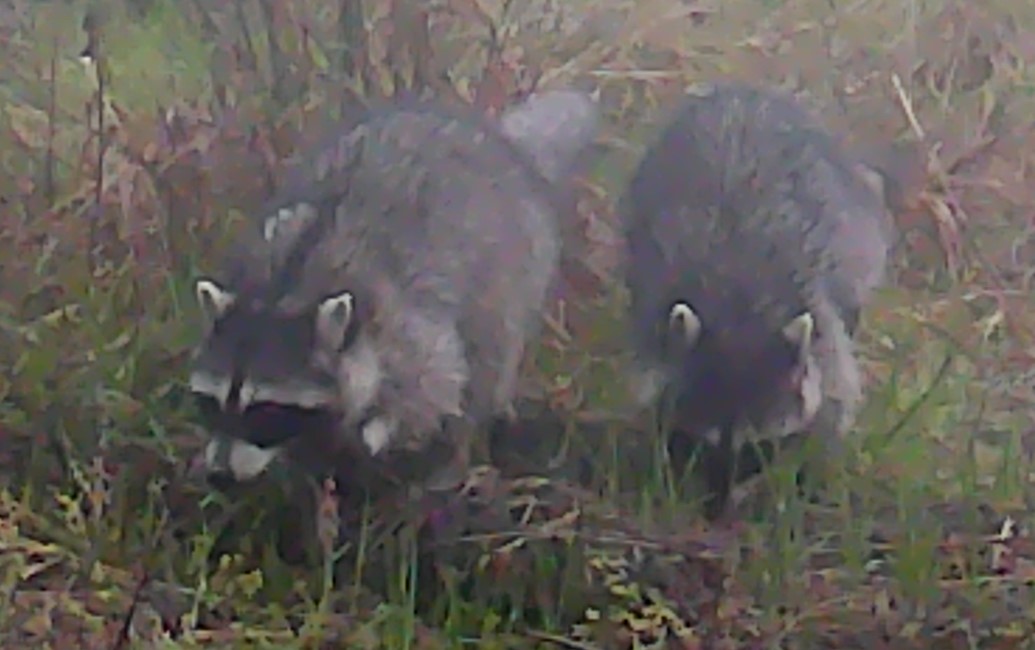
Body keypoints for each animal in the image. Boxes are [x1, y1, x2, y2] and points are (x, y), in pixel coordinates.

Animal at [188, 89, 600, 493]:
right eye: (210, 404)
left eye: (265, 411)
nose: (219, 476)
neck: (280, 294)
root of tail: (502, 142)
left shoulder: (403, 318)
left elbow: (436, 380)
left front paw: (381, 428)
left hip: (517, 267)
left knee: (489, 358)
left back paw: (458, 452)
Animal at [620, 81, 898, 516]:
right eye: (699, 443)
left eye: (757, 450)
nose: (716, 515)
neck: (740, 315)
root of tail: (745, 91)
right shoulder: (653, 310)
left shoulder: (821, 321)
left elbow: (835, 397)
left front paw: (809, 473)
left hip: (859, 219)